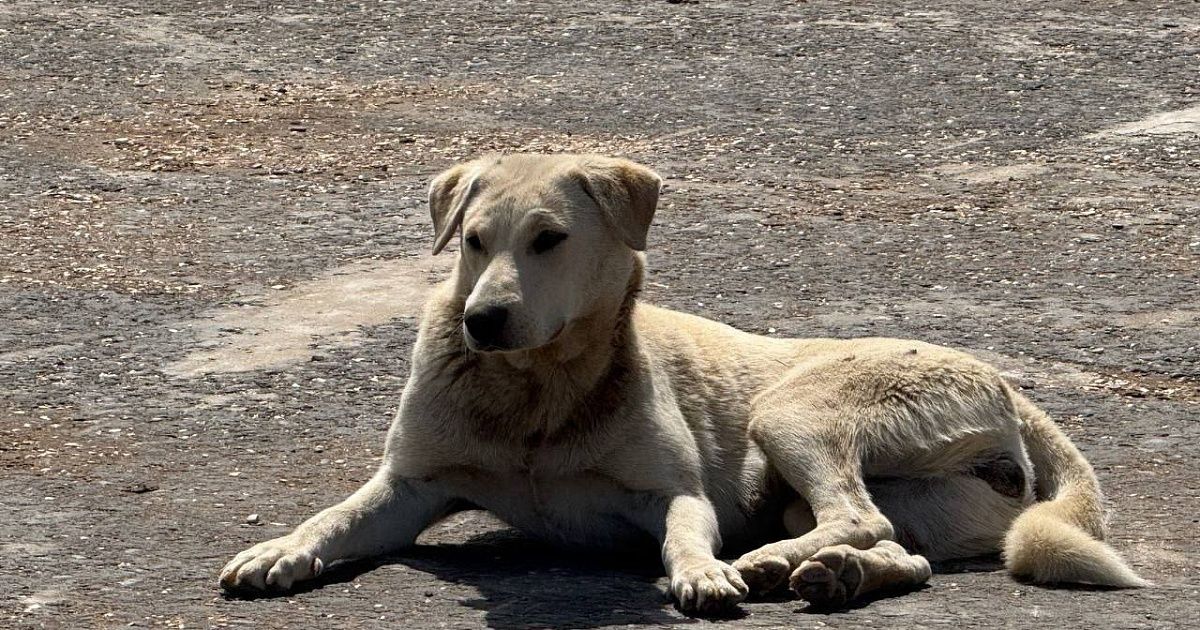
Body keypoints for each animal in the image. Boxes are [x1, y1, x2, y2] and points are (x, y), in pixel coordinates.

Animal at [219, 154, 1146, 613]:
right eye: (474, 240)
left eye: (548, 239)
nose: (482, 321)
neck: (535, 396)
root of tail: (1009, 386)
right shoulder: (408, 488)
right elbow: (334, 517)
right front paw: (280, 551)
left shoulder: (678, 495)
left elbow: (684, 539)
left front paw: (702, 575)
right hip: (883, 497)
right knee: (899, 550)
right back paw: (835, 577)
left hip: (791, 413)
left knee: (859, 517)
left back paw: (773, 566)